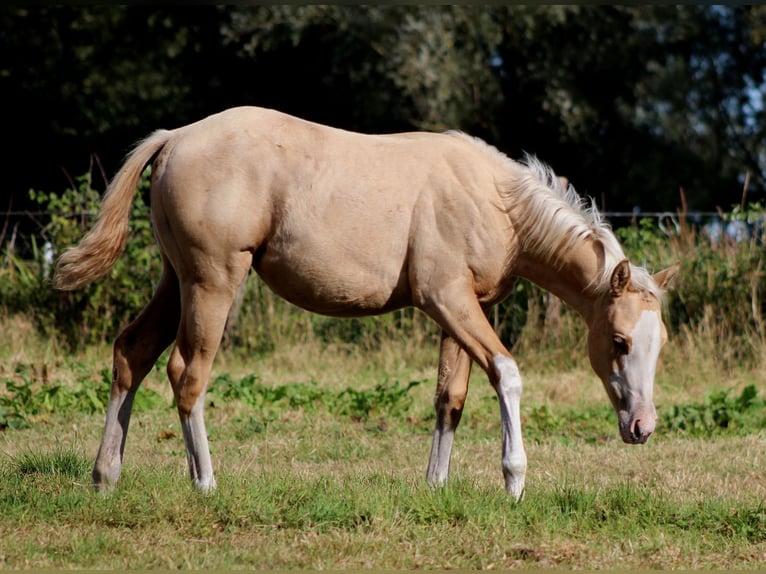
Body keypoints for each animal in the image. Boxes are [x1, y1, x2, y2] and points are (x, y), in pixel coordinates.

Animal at [53, 106, 678, 501]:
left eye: (660, 345)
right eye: (618, 341)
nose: (642, 427)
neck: (495, 200)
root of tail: (176, 136)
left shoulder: (458, 312)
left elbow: (450, 399)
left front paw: (436, 486)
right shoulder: (447, 301)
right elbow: (507, 373)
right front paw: (514, 479)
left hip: (174, 280)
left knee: (132, 354)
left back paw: (106, 476)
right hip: (212, 283)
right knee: (188, 375)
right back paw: (205, 484)